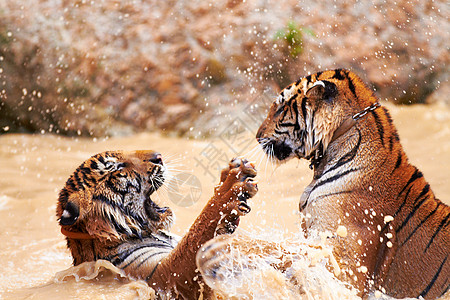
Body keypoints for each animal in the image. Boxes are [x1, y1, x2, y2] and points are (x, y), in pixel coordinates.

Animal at [56, 150, 258, 298]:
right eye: (117, 167)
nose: (158, 156)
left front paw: (232, 169)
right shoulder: (164, 276)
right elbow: (196, 234)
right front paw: (231, 187)